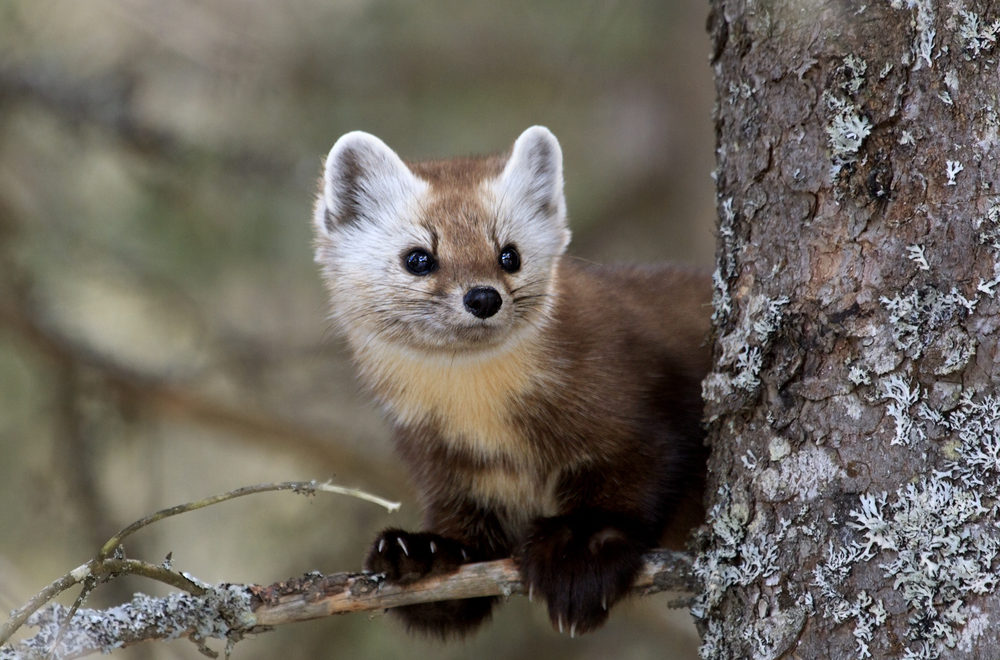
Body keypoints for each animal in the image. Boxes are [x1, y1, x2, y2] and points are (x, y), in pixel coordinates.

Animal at [312, 126, 712, 636]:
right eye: (418, 258)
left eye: (510, 254)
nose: (483, 296)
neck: (497, 432)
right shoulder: (446, 467)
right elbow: (463, 569)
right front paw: (415, 552)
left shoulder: (642, 405)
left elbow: (634, 487)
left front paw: (576, 556)